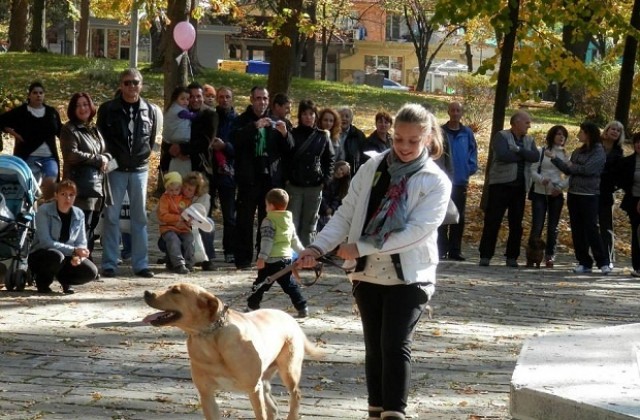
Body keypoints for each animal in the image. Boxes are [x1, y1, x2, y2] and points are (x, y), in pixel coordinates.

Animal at [141, 282, 318, 420]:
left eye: (176, 291)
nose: (146, 292)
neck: (208, 338)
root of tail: (289, 317)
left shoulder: (253, 389)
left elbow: (260, 414)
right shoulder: (206, 394)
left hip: (289, 370)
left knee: (295, 395)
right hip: (265, 379)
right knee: (273, 408)